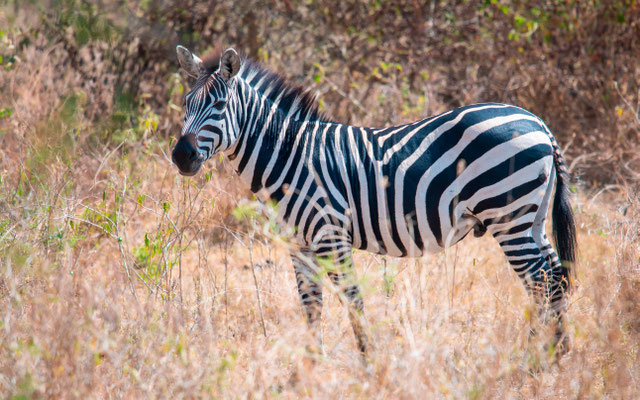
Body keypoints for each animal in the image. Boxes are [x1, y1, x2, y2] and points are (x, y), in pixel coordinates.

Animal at [172, 47, 576, 360]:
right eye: (187, 104)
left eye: (219, 105)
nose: (180, 156)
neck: (289, 155)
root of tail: (538, 122)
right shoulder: (298, 245)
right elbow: (310, 305)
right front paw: (310, 367)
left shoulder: (330, 234)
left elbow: (352, 300)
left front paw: (368, 362)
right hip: (532, 218)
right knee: (554, 277)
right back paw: (556, 354)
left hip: (509, 216)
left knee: (539, 281)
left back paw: (534, 359)